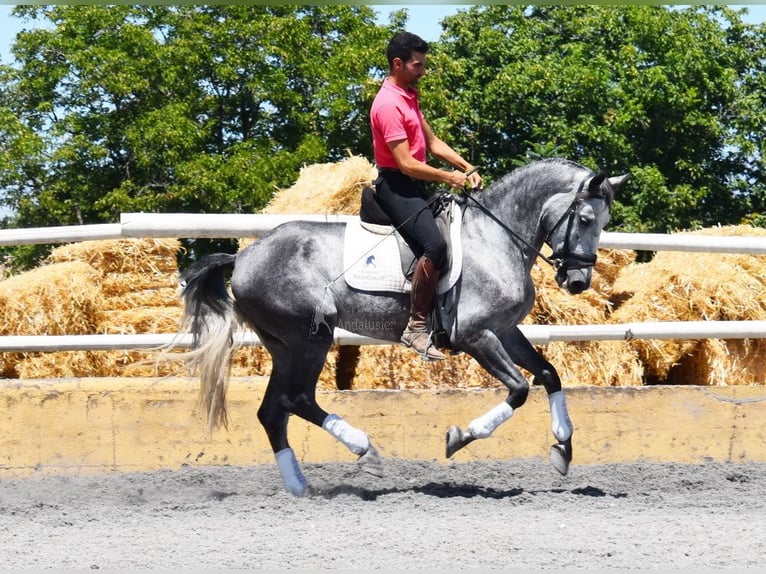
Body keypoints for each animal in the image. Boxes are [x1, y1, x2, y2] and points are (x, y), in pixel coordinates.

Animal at [178, 160, 632, 498]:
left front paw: (563, 447)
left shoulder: (503, 331)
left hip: (285, 346)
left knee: (274, 411)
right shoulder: (474, 336)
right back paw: (366, 452)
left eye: (604, 220)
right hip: (310, 338)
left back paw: (299, 486)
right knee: (298, 399)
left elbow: (549, 375)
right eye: (586, 218)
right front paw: (461, 436)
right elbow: (519, 389)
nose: (578, 281)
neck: (496, 239)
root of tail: (243, 256)